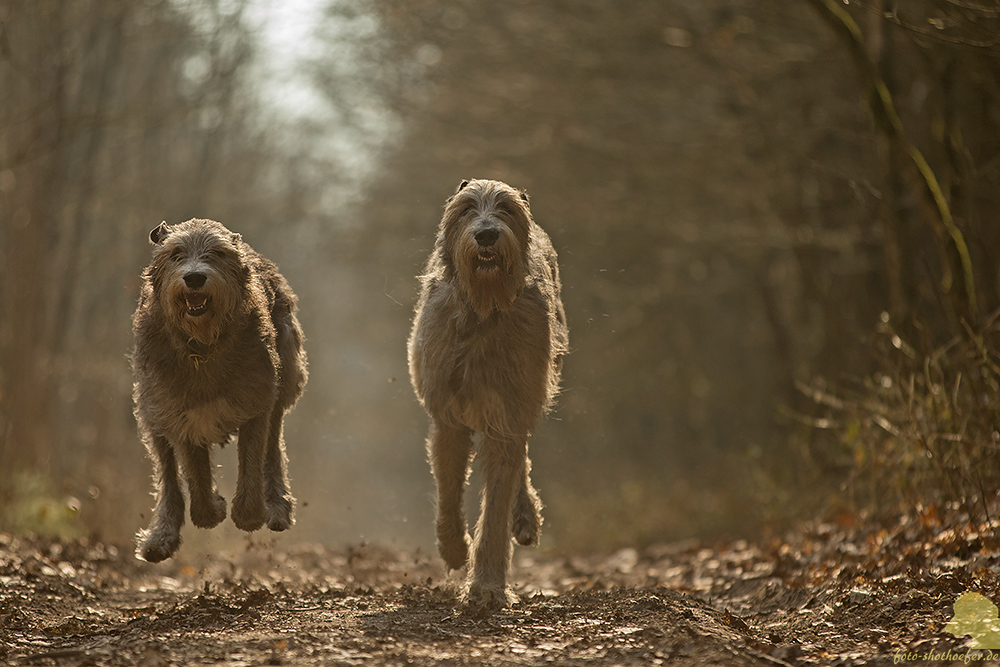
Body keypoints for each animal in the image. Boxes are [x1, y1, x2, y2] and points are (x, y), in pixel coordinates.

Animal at [133, 219, 304, 564]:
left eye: (217, 254)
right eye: (176, 253)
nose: (194, 277)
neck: (203, 348)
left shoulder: (256, 399)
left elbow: (252, 458)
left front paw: (248, 514)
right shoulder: (178, 413)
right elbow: (195, 477)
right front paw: (213, 507)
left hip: (286, 374)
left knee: (273, 443)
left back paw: (277, 506)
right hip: (149, 409)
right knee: (168, 474)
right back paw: (161, 537)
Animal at [404, 177, 564, 612]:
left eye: (506, 209)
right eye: (465, 209)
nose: (487, 233)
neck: (482, 311)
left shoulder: (507, 410)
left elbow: (495, 503)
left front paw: (487, 586)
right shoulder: (446, 415)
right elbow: (447, 485)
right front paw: (453, 547)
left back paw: (524, 517)